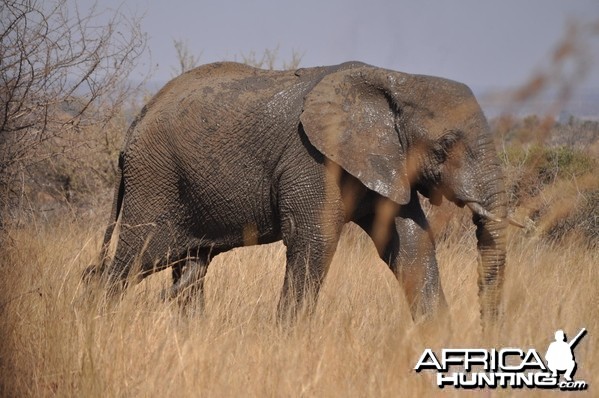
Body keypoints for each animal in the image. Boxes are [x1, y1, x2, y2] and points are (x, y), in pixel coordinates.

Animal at [86, 60, 512, 324]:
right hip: (155, 178)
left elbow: (412, 245)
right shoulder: (312, 159)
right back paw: (95, 321)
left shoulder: (386, 162)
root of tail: (137, 119)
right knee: (133, 262)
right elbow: (315, 239)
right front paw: (288, 339)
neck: (393, 78)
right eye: (445, 147)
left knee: (190, 271)